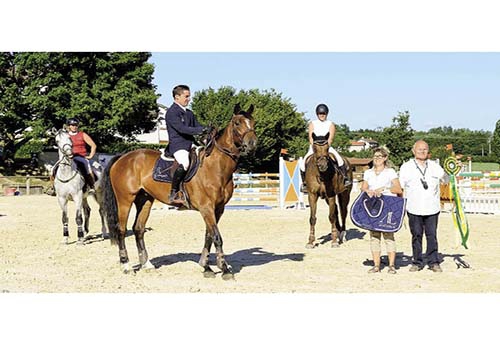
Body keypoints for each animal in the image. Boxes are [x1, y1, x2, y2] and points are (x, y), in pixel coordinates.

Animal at [102, 103, 258, 278]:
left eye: (253, 122)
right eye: (237, 123)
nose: (252, 144)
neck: (215, 166)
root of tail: (122, 157)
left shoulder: (218, 209)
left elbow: (209, 236)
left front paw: (206, 266)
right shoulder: (206, 208)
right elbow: (216, 237)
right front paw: (224, 269)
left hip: (145, 200)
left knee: (138, 229)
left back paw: (146, 264)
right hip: (125, 200)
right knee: (121, 230)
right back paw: (126, 266)